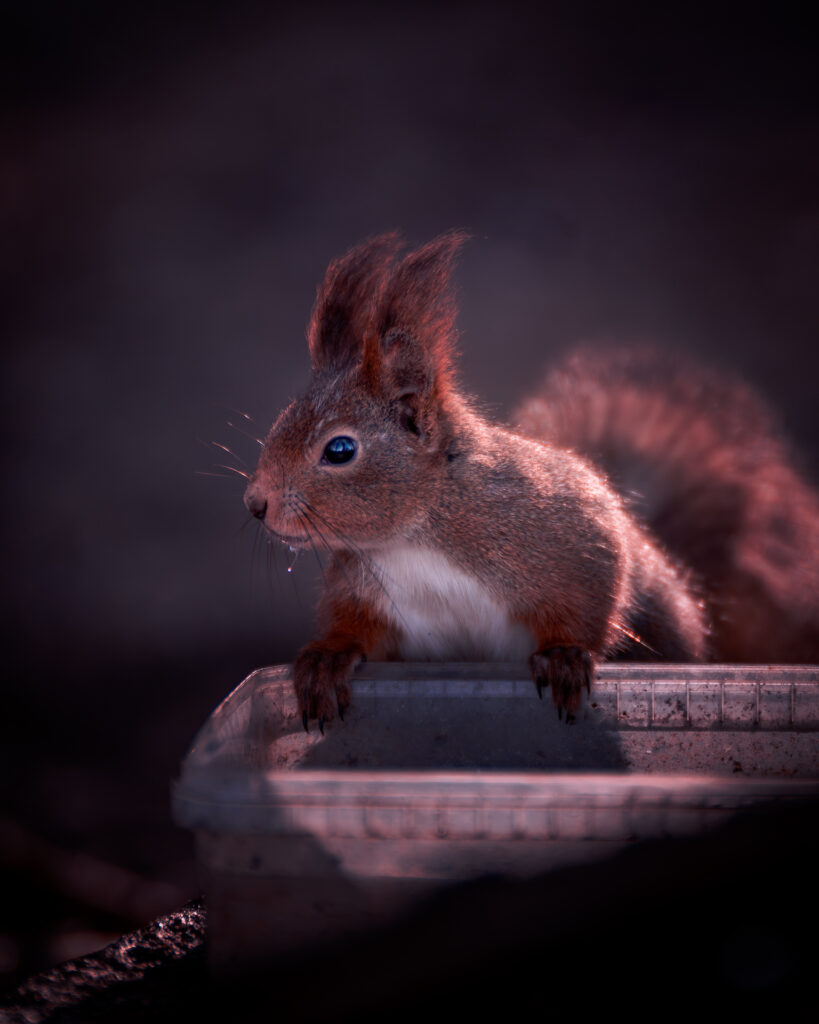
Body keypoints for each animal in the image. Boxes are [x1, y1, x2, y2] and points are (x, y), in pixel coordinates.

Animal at [243, 231, 819, 730]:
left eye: (340, 450)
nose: (254, 503)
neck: (415, 537)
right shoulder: (368, 593)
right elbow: (355, 631)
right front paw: (326, 660)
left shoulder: (572, 536)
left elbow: (591, 600)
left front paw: (563, 656)